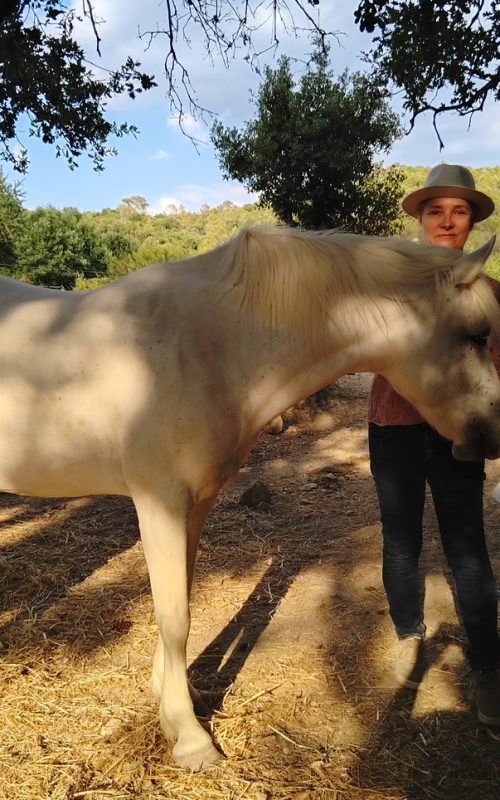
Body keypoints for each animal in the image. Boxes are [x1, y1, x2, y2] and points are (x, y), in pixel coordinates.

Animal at [1, 224, 500, 771]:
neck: (206, 346)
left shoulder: (194, 506)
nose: (494, 435)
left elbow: (182, 601)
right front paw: (190, 738)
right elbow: (174, 617)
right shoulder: (159, 504)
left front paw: (177, 701)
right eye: (478, 335)